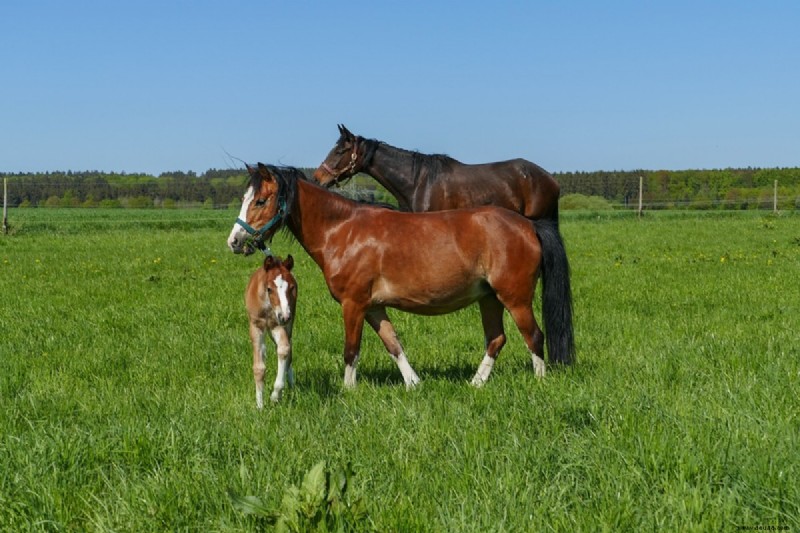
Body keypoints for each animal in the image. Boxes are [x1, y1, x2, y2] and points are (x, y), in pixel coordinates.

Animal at [228, 162, 572, 386]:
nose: (235, 241)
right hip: (489, 298)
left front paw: (347, 390)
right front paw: (413, 383)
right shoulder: (373, 307)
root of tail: (528, 225)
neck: (343, 230)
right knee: (496, 339)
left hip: (515, 298)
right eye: (244, 199)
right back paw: (475, 383)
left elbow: (351, 350)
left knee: (534, 336)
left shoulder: (353, 304)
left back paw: (539, 383)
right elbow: (393, 344)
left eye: (260, 200)